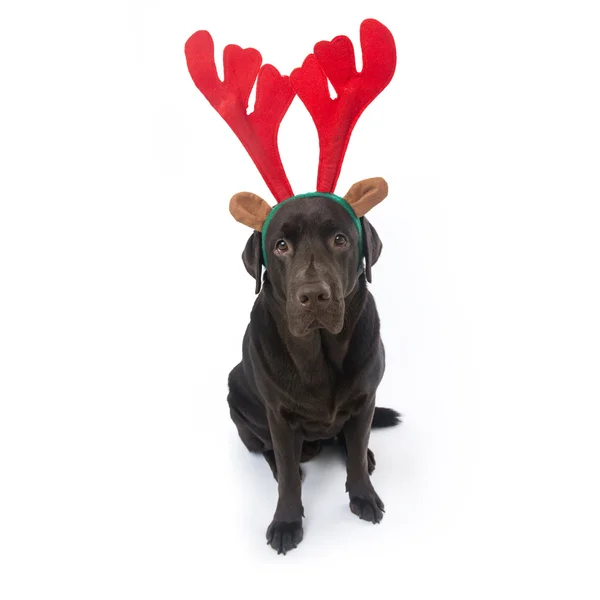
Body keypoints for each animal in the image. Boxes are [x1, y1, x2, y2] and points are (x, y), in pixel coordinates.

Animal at [227, 180, 400, 556]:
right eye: (280, 246)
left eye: (340, 239)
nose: (313, 296)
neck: (320, 353)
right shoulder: (279, 416)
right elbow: (289, 475)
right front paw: (286, 523)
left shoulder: (366, 399)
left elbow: (356, 457)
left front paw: (364, 495)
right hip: (236, 396)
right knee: (267, 450)